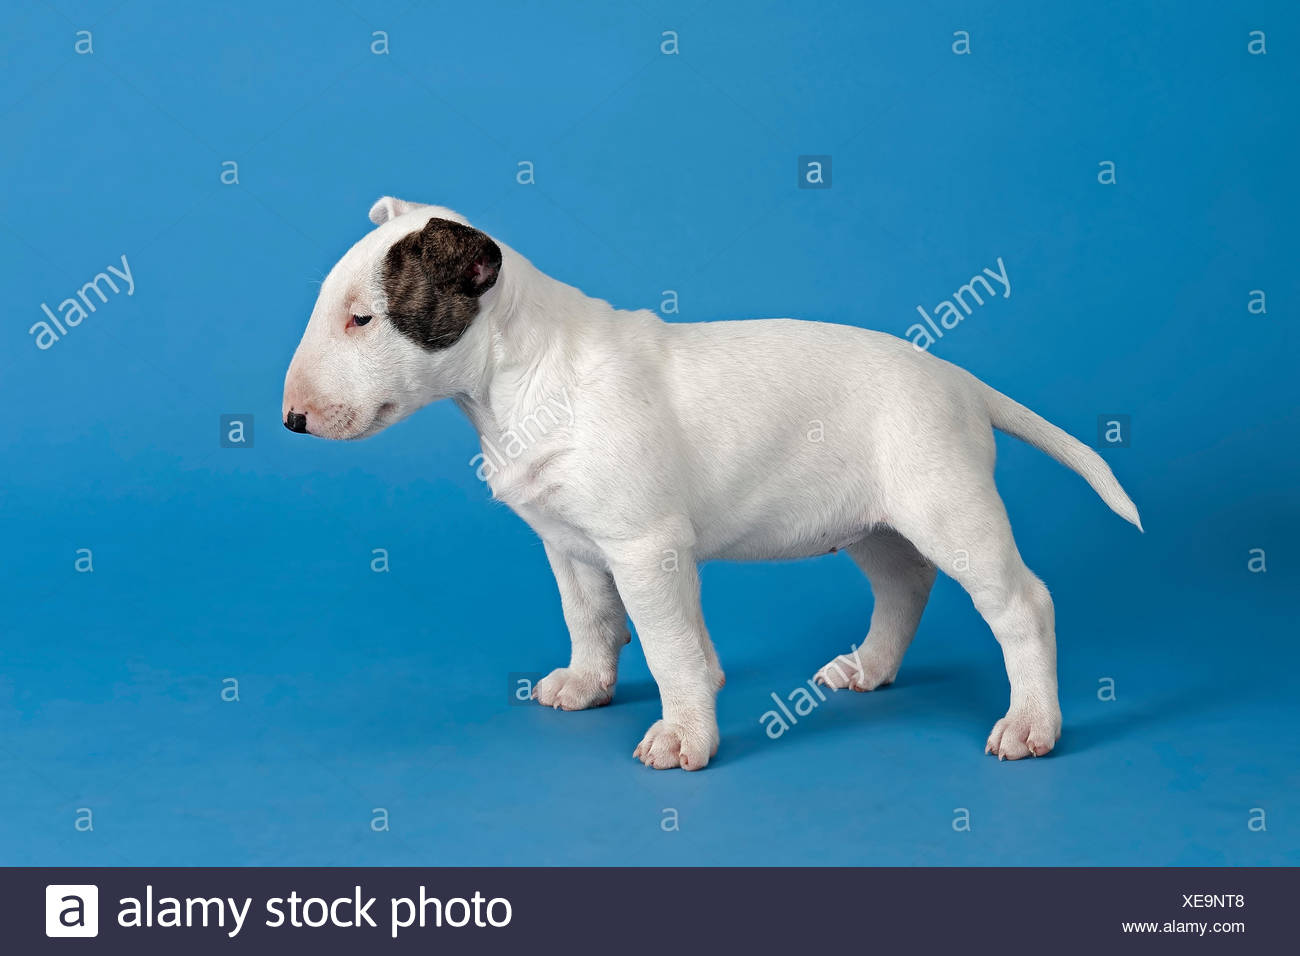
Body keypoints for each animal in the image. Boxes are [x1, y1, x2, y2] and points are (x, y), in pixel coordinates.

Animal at [282, 197, 1138, 775]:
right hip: (872, 521)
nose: (291, 419)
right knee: (905, 582)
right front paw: (587, 685)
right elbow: (591, 619)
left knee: (1022, 602)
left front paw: (682, 735)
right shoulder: (572, 544)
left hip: (948, 504)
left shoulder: (646, 546)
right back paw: (868, 667)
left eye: (363, 318)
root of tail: (960, 380)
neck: (518, 376)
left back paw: (1031, 724)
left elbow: (668, 646)